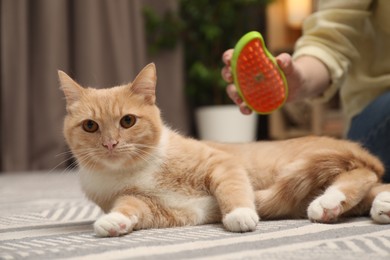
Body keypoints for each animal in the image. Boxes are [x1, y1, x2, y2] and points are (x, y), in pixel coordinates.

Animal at [59, 63, 390, 238]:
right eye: (90, 126)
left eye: (127, 121)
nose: (110, 144)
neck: (135, 172)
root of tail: (352, 146)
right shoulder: (158, 208)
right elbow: (130, 207)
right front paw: (113, 221)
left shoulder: (219, 162)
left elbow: (231, 188)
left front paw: (240, 214)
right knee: (374, 186)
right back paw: (373, 206)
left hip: (309, 165)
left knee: (361, 175)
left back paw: (329, 201)